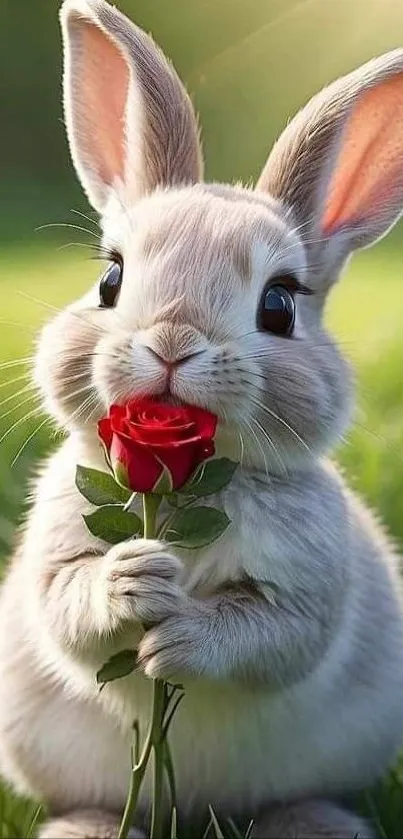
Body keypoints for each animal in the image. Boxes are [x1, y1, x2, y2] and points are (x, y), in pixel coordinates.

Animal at [0, 0, 403, 836]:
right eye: (110, 280)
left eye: (278, 305)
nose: (172, 342)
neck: (188, 487)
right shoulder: (56, 548)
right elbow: (69, 600)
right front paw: (134, 578)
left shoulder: (305, 591)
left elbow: (269, 637)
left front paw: (179, 627)